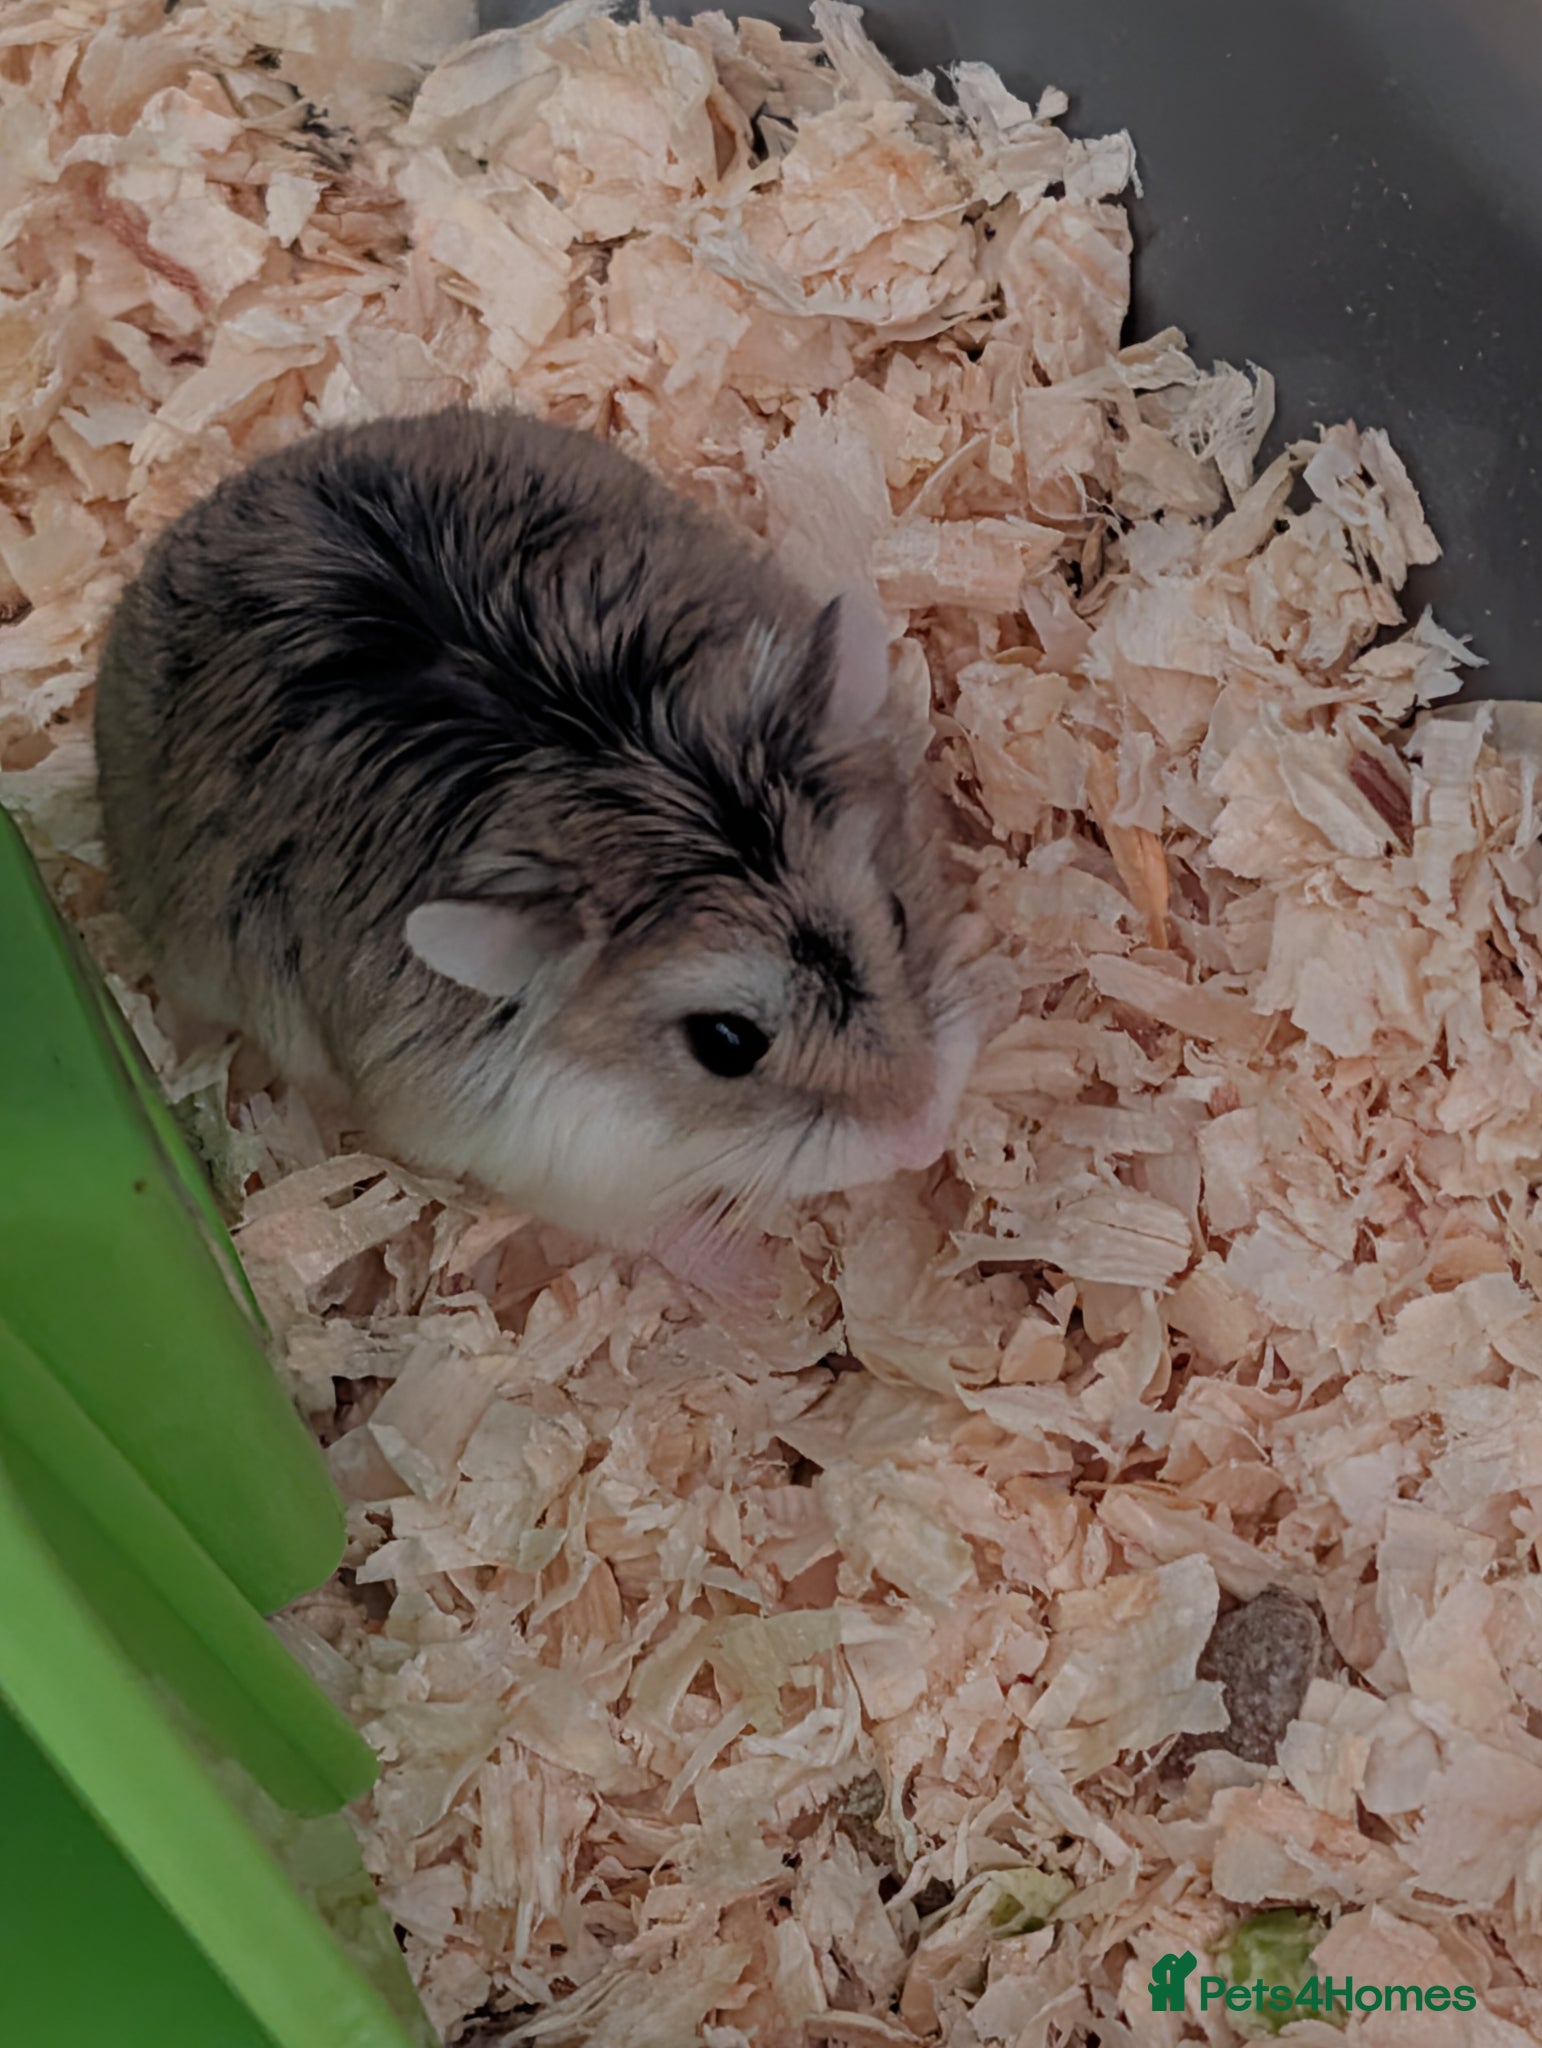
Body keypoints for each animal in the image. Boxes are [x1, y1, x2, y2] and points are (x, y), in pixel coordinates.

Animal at [94, 407, 989, 1256]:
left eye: (899, 917)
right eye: (726, 1044)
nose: (923, 1133)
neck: (624, 774)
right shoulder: (527, 1151)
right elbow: (646, 1228)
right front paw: (748, 1281)